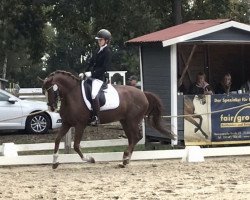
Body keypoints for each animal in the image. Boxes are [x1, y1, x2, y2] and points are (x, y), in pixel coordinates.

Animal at [41, 70, 176, 169]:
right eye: (44, 92)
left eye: (52, 90)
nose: (51, 107)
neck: (71, 94)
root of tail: (143, 94)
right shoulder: (66, 123)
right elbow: (57, 140)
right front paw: (55, 162)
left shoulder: (80, 125)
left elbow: (76, 146)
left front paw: (90, 159)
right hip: (125, 121)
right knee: (132, 138)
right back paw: (125, 160)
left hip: (132, 120)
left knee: (137, 137)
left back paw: (125, 158)